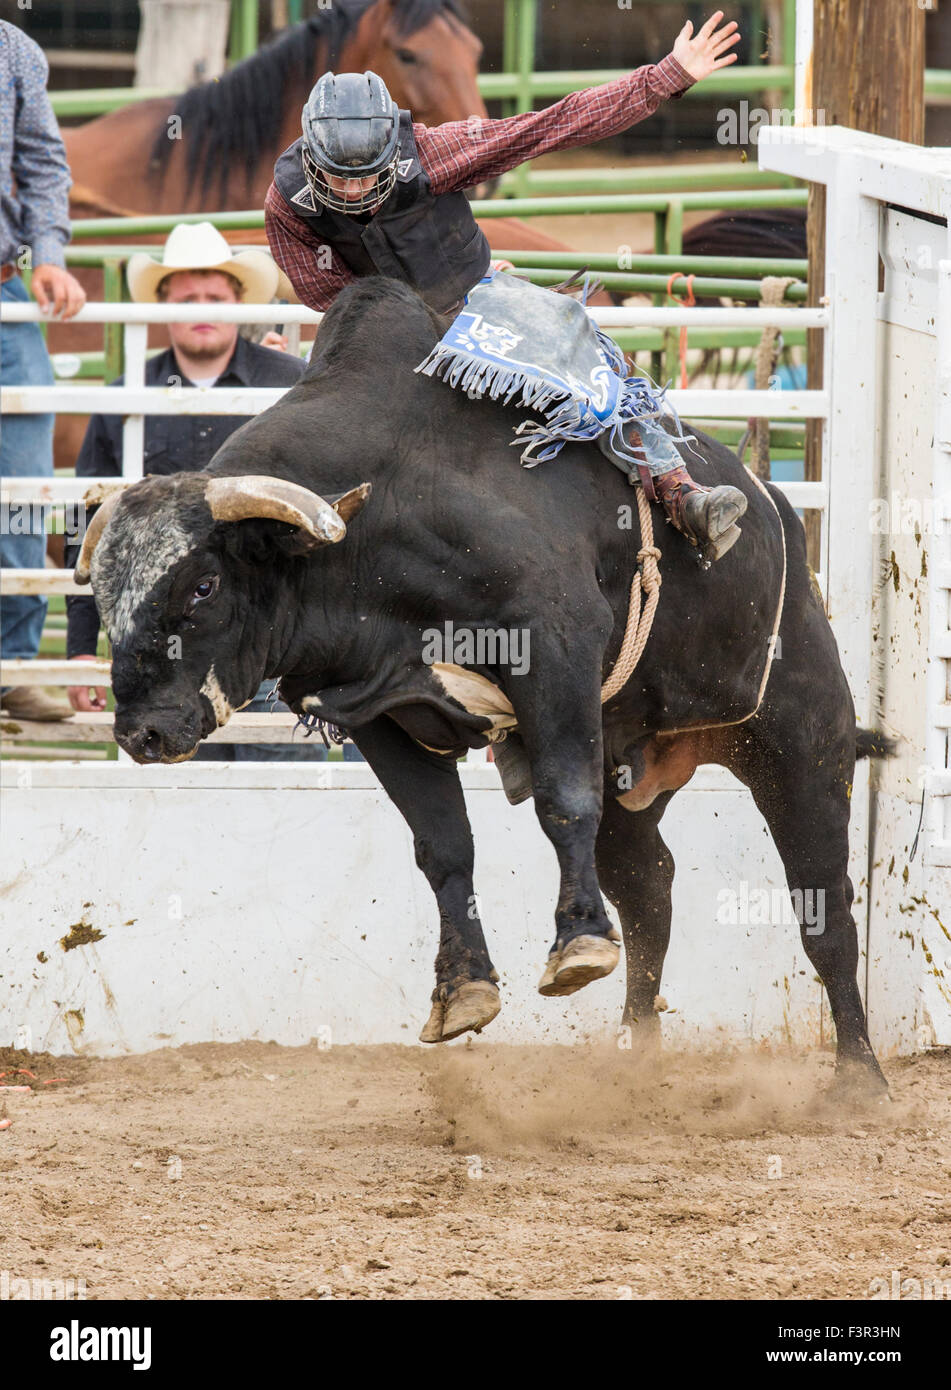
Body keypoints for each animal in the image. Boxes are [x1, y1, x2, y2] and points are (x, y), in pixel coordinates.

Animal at [77, 276, 889, 1089]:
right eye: (104, 593)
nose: (141, 732)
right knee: (648, 887)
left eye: (203, 585)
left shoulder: (553, 649)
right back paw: (637, 1051)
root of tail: (778, 510)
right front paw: (462, 989)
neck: (384, 518)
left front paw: (576, 946)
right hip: (631, 764)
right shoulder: (379, 709)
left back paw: (858, 1076)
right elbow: (443, 845)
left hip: (800, 738)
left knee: (823, 902)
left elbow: (562, 803)